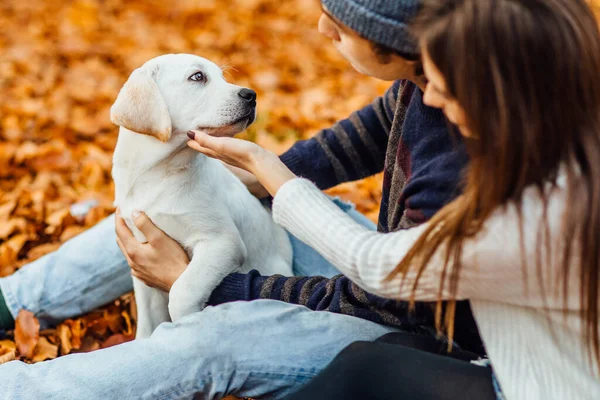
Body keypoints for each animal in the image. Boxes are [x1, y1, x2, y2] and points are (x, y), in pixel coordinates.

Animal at [110, 54, 296, 340]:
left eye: (222, 76)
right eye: (198, 77)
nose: (251, 95)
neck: (159, 175)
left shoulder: (222, 243)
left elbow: (181, 293)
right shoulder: (140, 252)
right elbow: (147, 324)